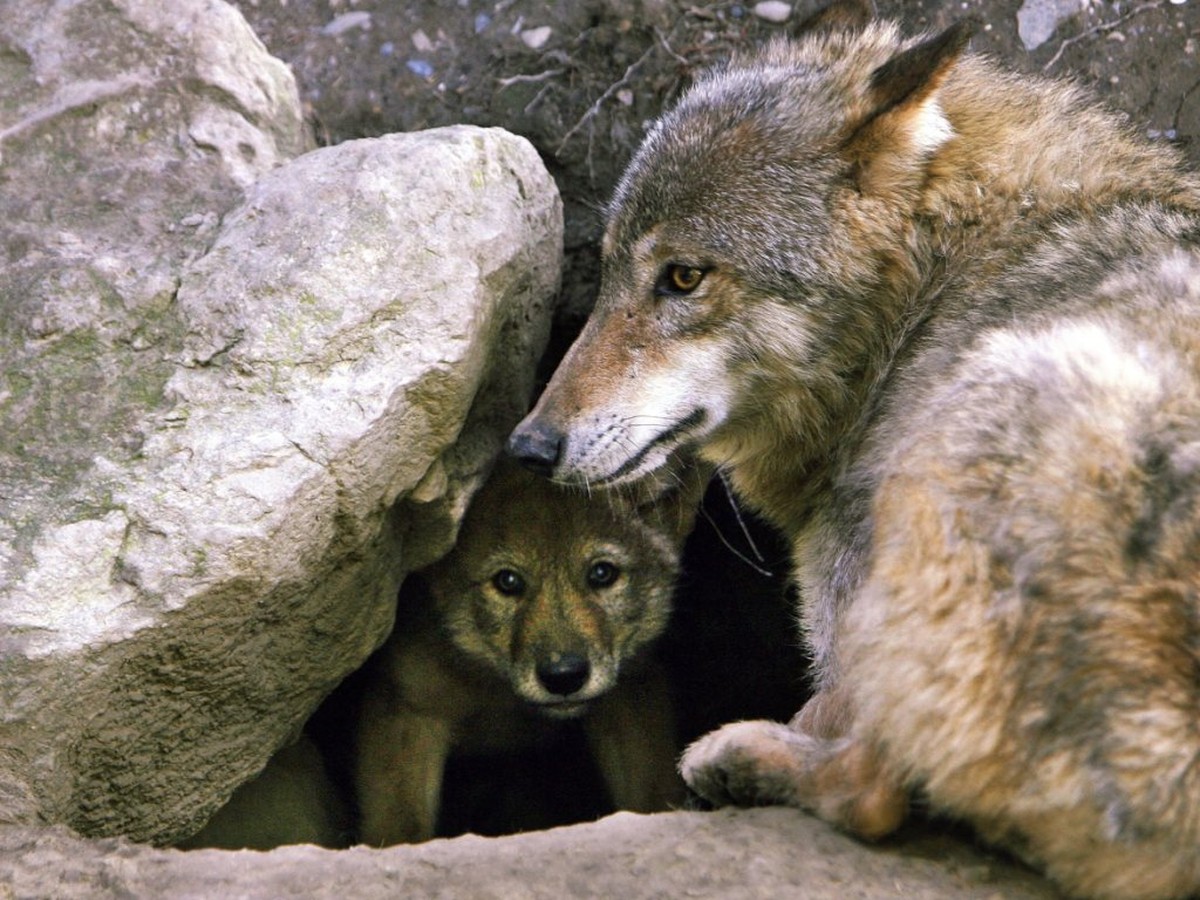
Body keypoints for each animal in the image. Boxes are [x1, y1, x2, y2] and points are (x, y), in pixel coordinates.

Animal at [354, 459, 702, 845]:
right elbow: (400, 830)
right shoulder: (407, 710)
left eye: (602, 573)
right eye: (507, 581)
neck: (502, 696)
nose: (564, 677)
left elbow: (650, 796)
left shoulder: (632, 693)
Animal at [507, 2, 1200, 897]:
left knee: (871, 794)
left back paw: (739, 758)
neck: (928, 291)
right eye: (608, 272)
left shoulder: (850, 613)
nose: (527, 445)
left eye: (684, 278)